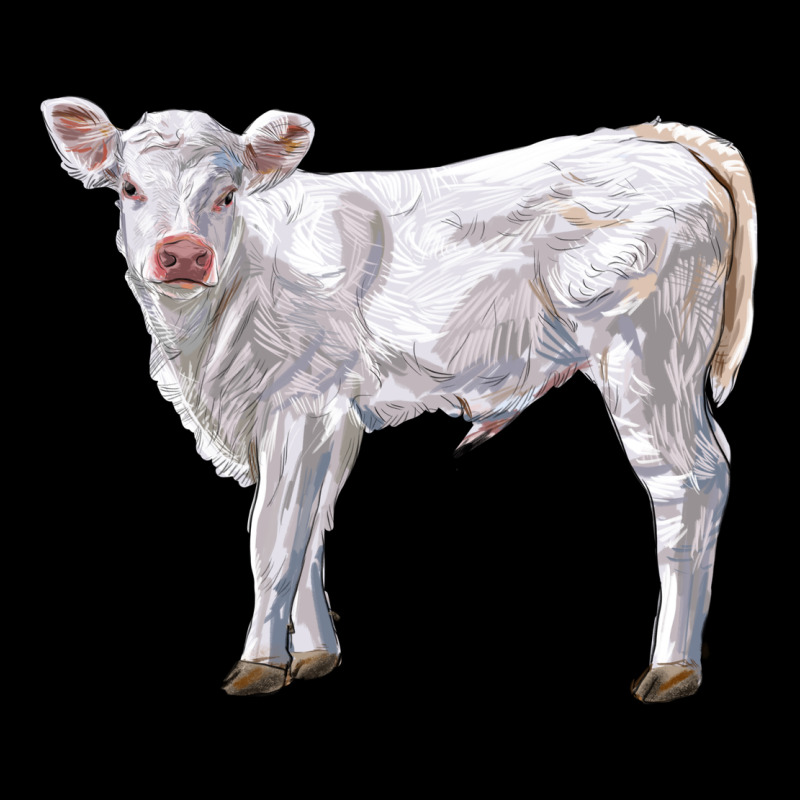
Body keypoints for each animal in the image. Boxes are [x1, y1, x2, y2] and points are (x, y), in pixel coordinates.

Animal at [42, 97, 756, 702]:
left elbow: (273, 539)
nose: (183, 254)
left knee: (690, 483)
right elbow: (312, 527)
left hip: (650, 361)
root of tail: (649, 136)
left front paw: (260, 665)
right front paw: (317, 656)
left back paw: (672, 669)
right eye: (129, 189)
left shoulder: (298, 404)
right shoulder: (334, 417)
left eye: (227, 194)